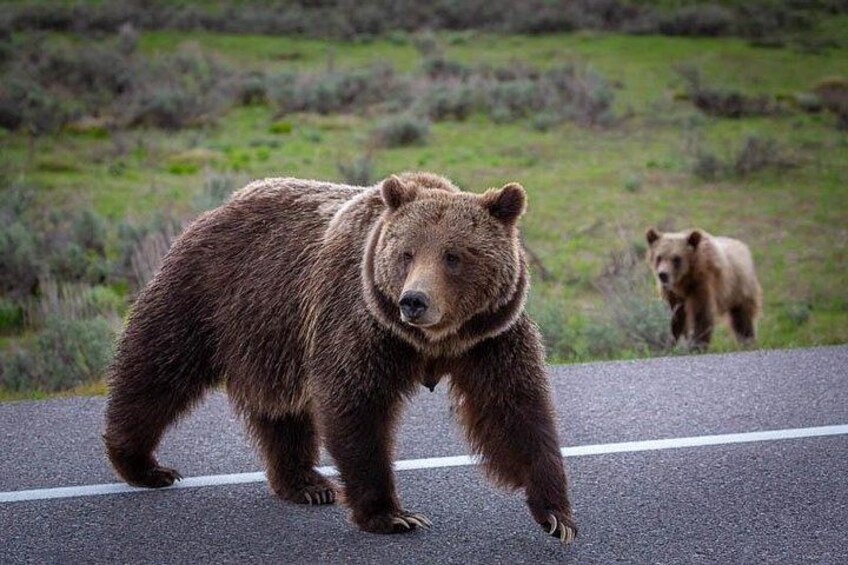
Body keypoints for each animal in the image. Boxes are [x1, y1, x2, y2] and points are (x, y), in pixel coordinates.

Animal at [103, 172, 577, 543]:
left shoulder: (490, 337)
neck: (433, 341)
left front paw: (556, 515)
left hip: (271, 335)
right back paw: (143, 464)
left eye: (454, 255)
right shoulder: (362, 325)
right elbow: (356, 407)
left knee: (281, 408)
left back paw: (306, 483)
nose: (413, 301)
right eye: (406, 253)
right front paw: (393, 515)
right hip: (207, 292)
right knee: (158, 368)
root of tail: (221, 205)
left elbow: (515, 411)